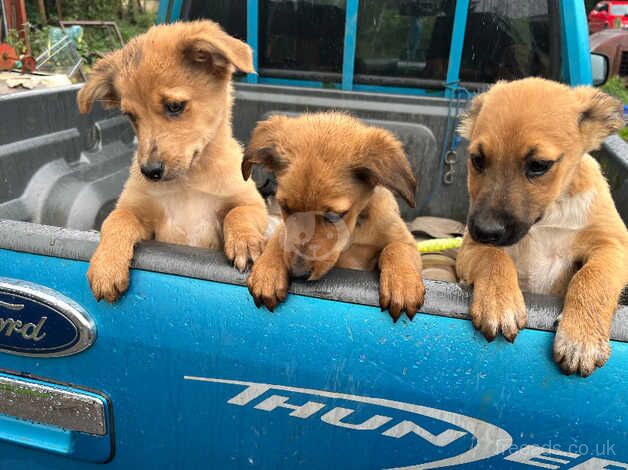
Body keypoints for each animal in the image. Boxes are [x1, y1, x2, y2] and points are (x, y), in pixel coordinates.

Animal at [77, 20, 266, 302]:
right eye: (131, 116)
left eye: (175, 106)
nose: (149, 171)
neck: (188, 182)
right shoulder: (138, 212)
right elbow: (116, 220)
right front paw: (106, 267)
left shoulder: (252, 203)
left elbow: (238, 212)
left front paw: (245, 242)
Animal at [243, 112, 424, 322]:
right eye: (284, 207)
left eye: (334, 215)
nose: (298, 274)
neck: (353, 232)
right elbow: (280, 239)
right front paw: (267, 272)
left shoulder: (405, 240)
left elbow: (395, 248)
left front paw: (402, 284)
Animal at [456, 79, 628, 376]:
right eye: (477, 159)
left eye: (538, 166)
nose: (484, 231)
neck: (546, 218)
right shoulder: (470, 246)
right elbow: (493, 257)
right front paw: (498, 302)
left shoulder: (614, 243)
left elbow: (594, 276)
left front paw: (581, 338)